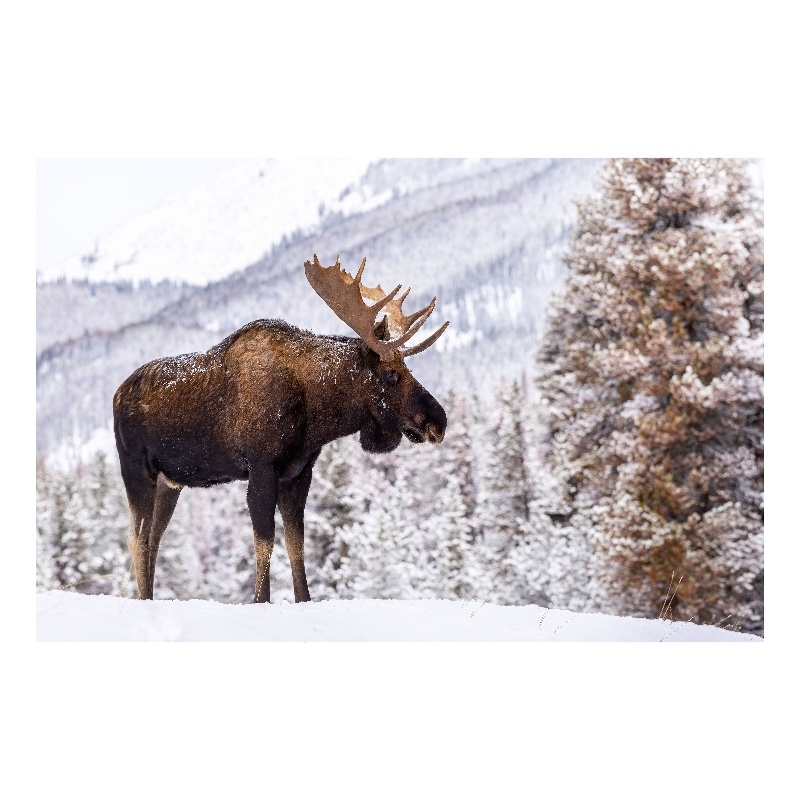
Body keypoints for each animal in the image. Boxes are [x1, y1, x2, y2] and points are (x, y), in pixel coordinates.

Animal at [113, 255, 449, 603]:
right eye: (391, 374)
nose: (438, 421)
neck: (315, 412)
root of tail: (117, 394)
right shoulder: (262, 466)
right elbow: (265, 543)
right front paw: (261, 600)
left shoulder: (298, 472)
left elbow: (295, 543)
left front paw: (303, 599)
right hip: (135, 468)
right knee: (137, 538)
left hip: (171, 482)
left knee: (154, 537)